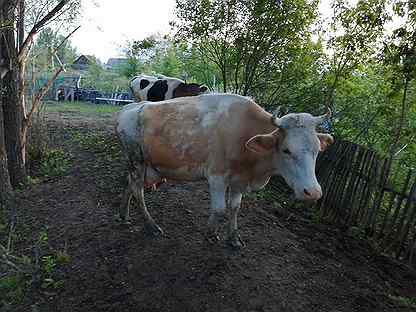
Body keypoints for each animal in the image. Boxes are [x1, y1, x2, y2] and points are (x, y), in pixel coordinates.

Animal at [115, 94, 334, 247]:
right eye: (287, 150)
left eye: (317, 150)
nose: (313, 192)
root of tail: (132, 107)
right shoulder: (217, 176)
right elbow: (219, 209)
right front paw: (211, 234)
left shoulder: (239, 180)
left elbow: (234, 207)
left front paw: (234, 238)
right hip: (137, 160)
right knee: (138, 191)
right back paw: (151, 225)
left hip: (140, 165)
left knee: (129, 184)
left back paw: (124, 215)